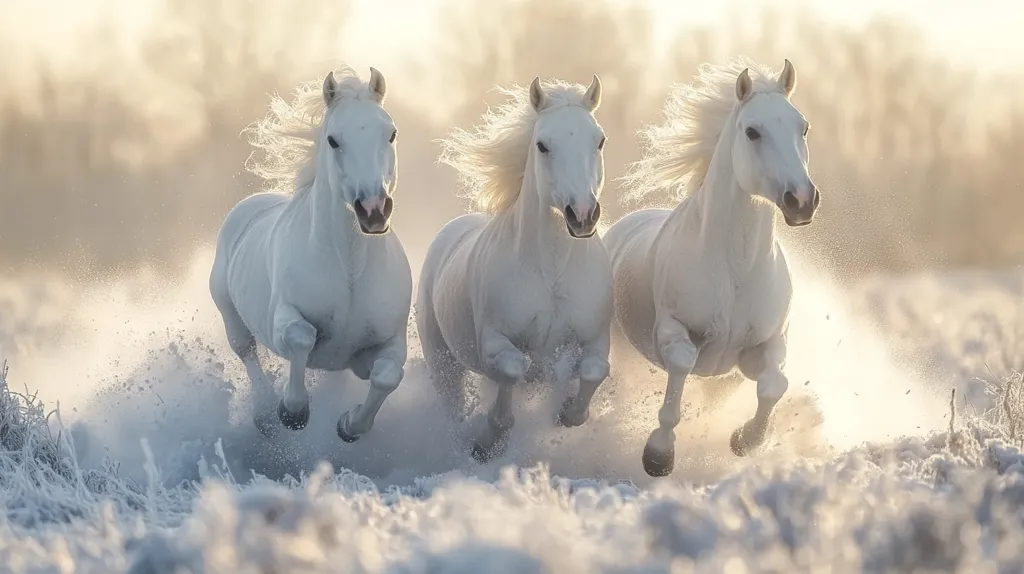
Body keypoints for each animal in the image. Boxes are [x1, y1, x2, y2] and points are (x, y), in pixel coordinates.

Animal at [209, 65, 412, 443]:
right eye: (333, 140)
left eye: (391, 134)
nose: (373, 210)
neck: (350, 273)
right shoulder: (285, 320)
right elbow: (300, 338)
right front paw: (293, 412)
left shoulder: (387, 344)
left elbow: (387, 376)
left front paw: (349, 425)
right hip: (229, 311)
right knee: (246, 349)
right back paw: (265, 413)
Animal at [416, 75, 612, 463]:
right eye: (542, 145)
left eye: (598, 140)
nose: (582, 215)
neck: (552, 272)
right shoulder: (494, 341)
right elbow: (513, 369)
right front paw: (487, 443)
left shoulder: (596, 338)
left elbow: (595, 370)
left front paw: (566, 413)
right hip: (443, 364)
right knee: (453, 405)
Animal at [603, 58, 819, 477]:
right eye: (752, 131)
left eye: (802, 126)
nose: (801, 200)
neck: (736, 270)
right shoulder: (673, 330)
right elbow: (682, 366)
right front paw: (658, 456)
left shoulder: (766, 344)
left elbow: (774, 385)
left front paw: (745, 440)